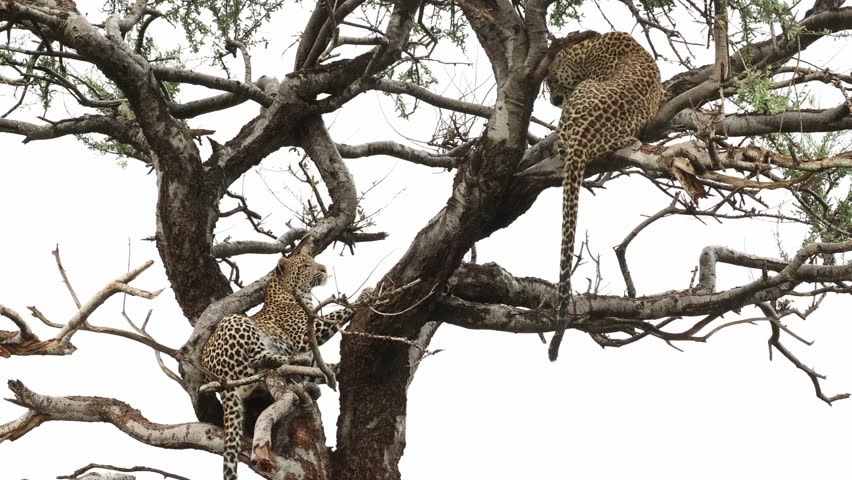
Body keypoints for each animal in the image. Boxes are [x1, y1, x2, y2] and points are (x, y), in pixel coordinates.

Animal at [201, 249, 363, 480]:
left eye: (313, 261)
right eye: (305, 266)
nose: (323, 269)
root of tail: (216, 377)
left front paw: (334, 368)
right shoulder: (304, 334)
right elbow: (336, 314)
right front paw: (367, 295)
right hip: (234, 321)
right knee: (262, 358)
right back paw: (296, 362)